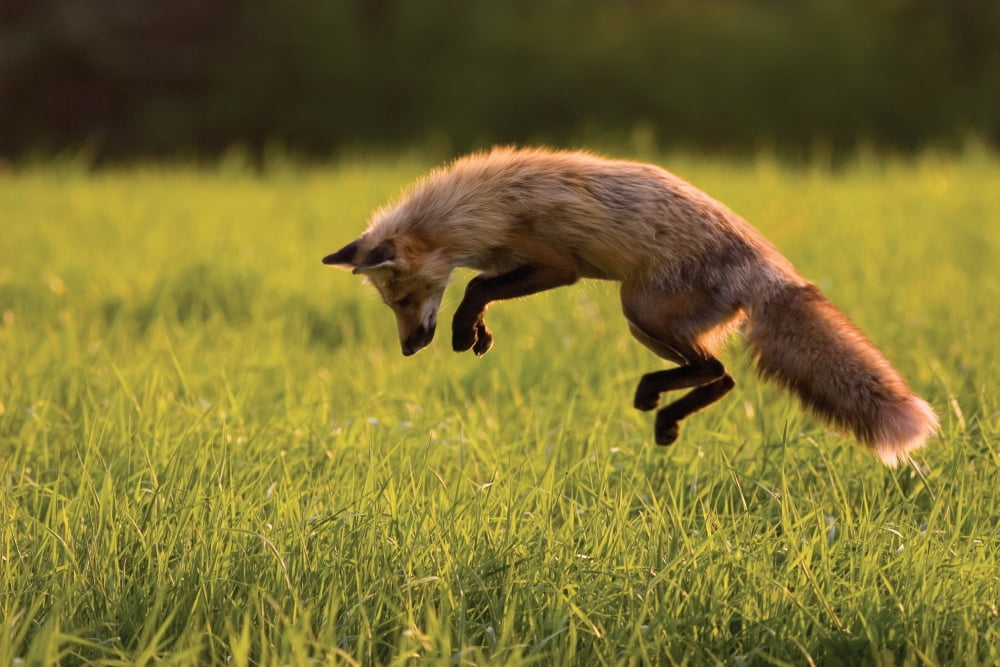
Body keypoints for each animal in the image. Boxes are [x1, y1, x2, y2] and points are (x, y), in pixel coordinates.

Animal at [322, 147, 938, 467]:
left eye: (403, 299)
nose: (409, 348)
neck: (478, 209)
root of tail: (771, 269)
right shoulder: (521, 265)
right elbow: (478, 288)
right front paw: (477, 334)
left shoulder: (555, 265)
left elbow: (474, 287)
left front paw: (464, 329)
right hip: (646, 323)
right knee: (723, 376)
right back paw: (664, 415)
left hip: (638, 308)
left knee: (718, 371)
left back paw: (658, 405)